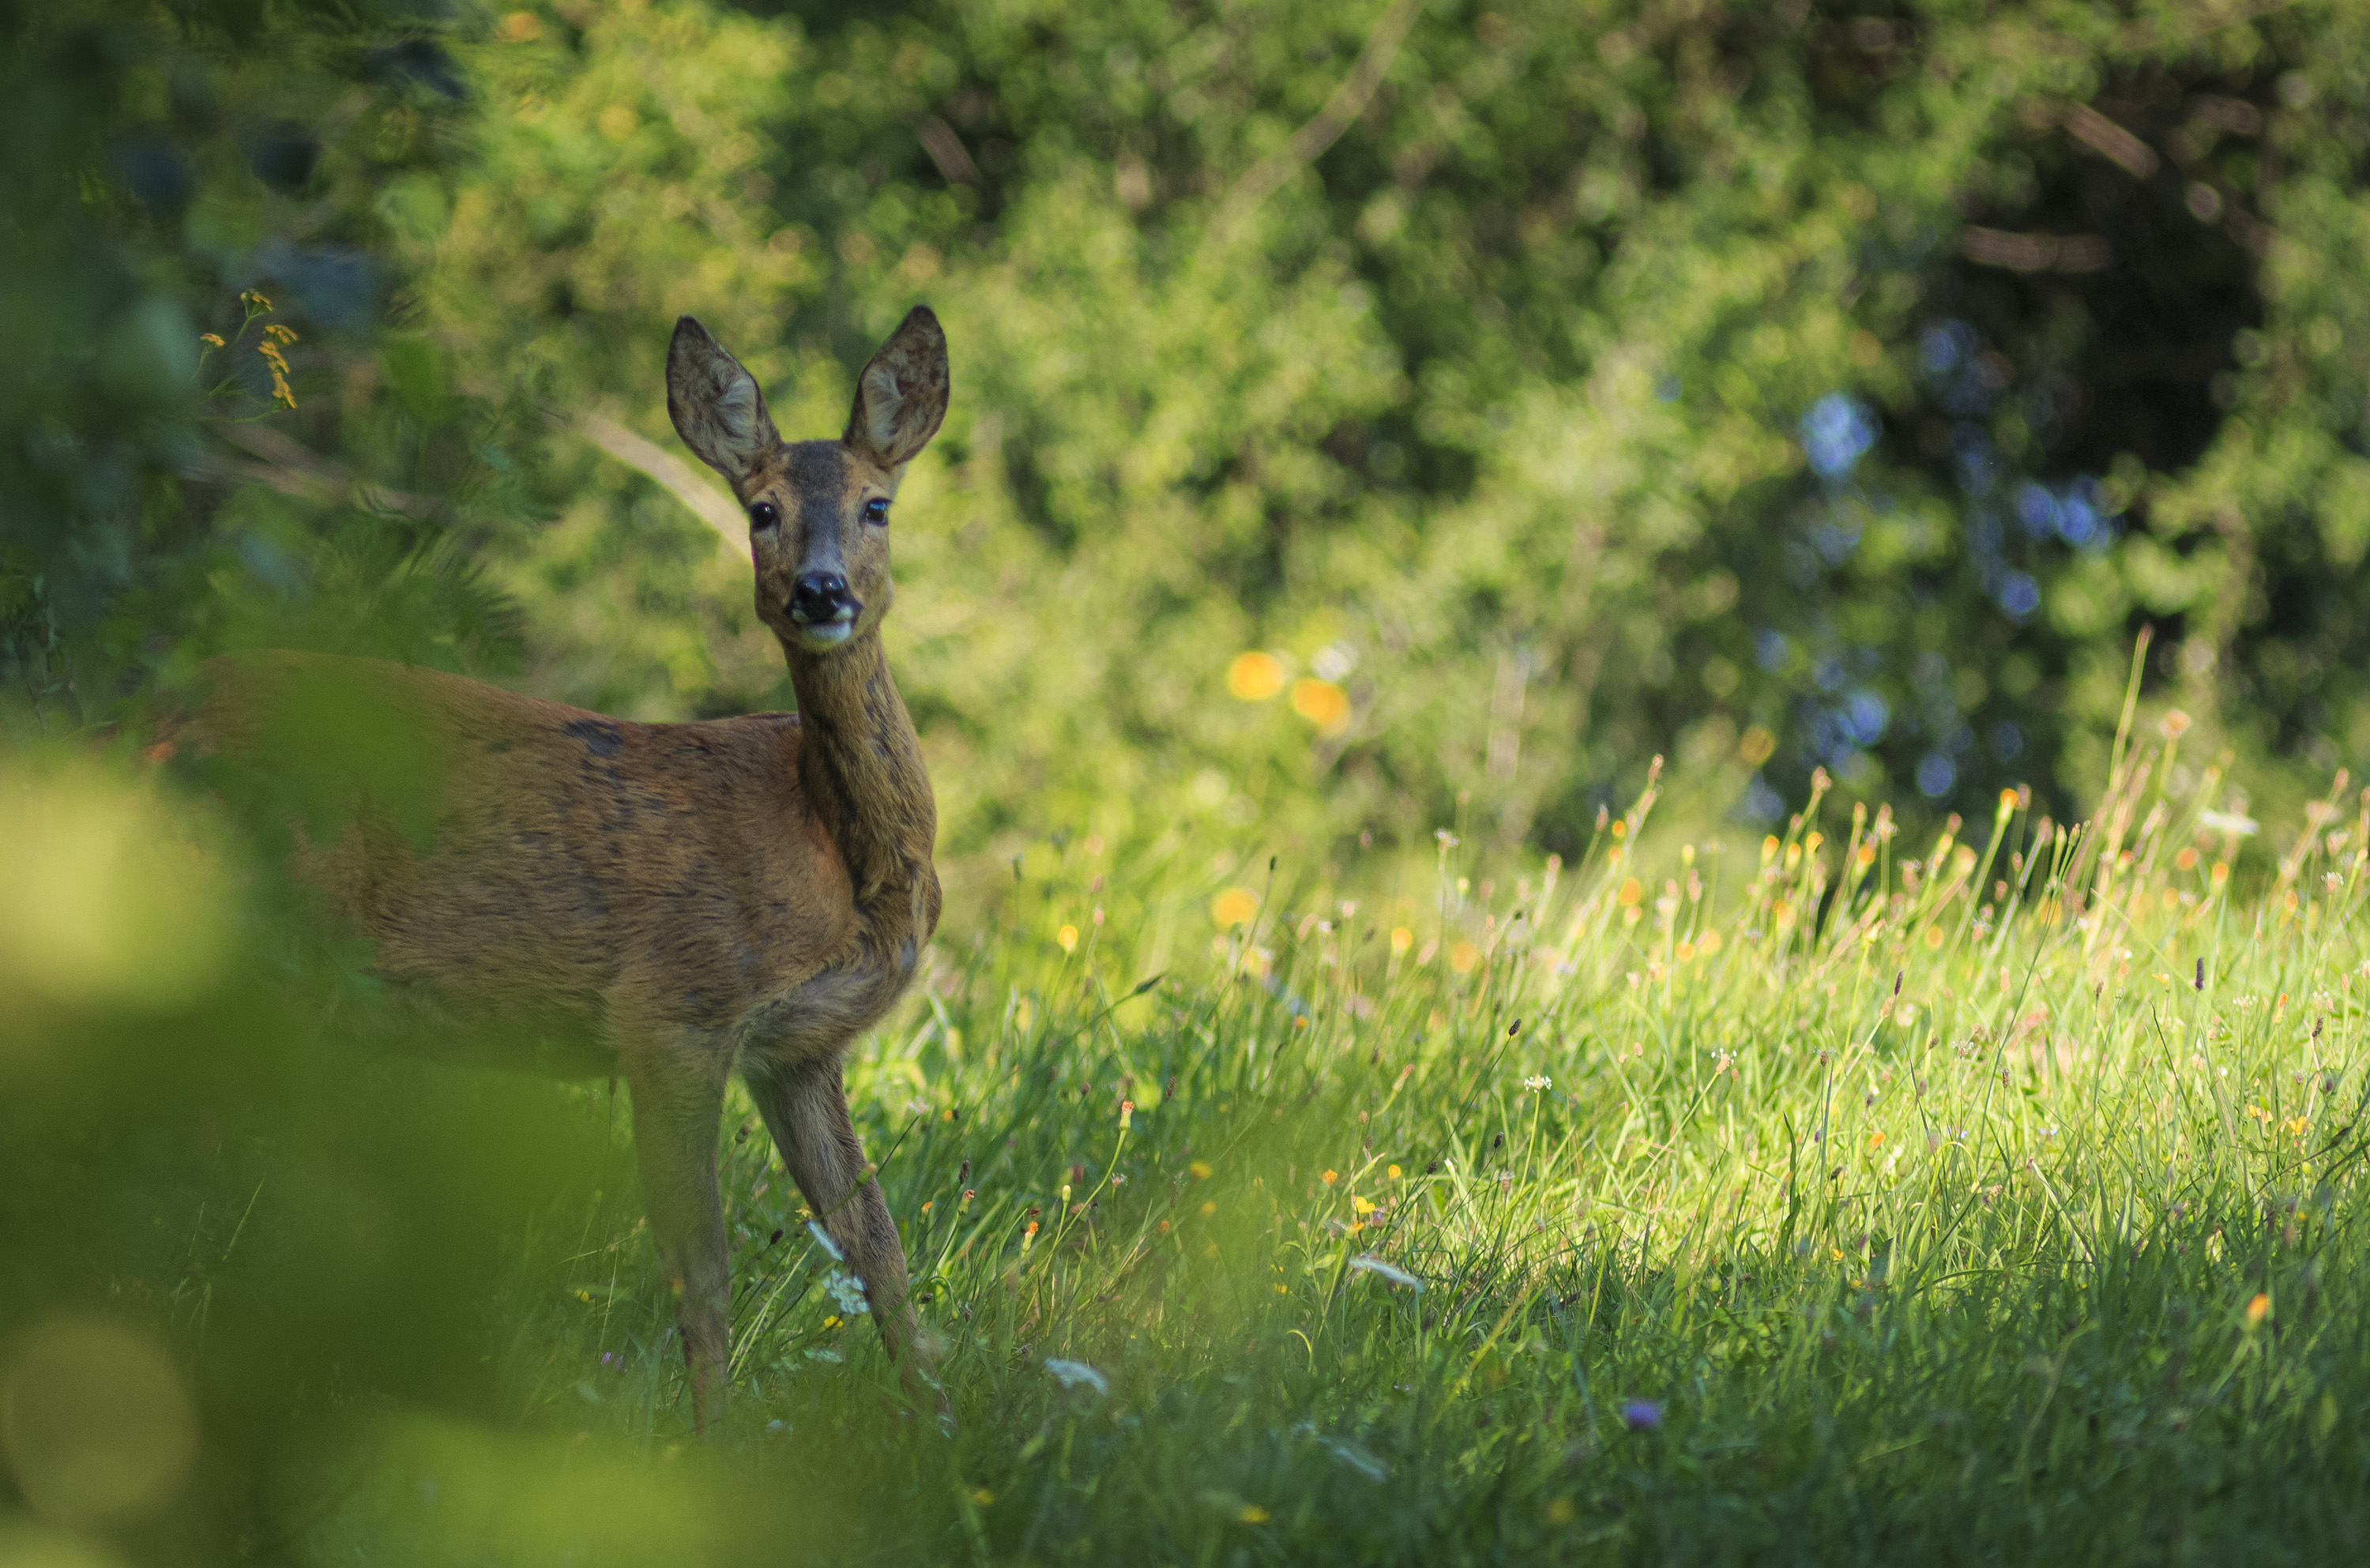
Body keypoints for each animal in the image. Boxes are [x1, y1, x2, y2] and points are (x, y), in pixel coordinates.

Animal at [187, 307, 953, 1433]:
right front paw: (717, 1443)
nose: (821, 591)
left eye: (878, 504)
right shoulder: (673, 1007)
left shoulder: (799, 1048)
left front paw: (944, 1420)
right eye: (761, 510)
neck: (832, 852)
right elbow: (701, 1266)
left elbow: (878, 1246)